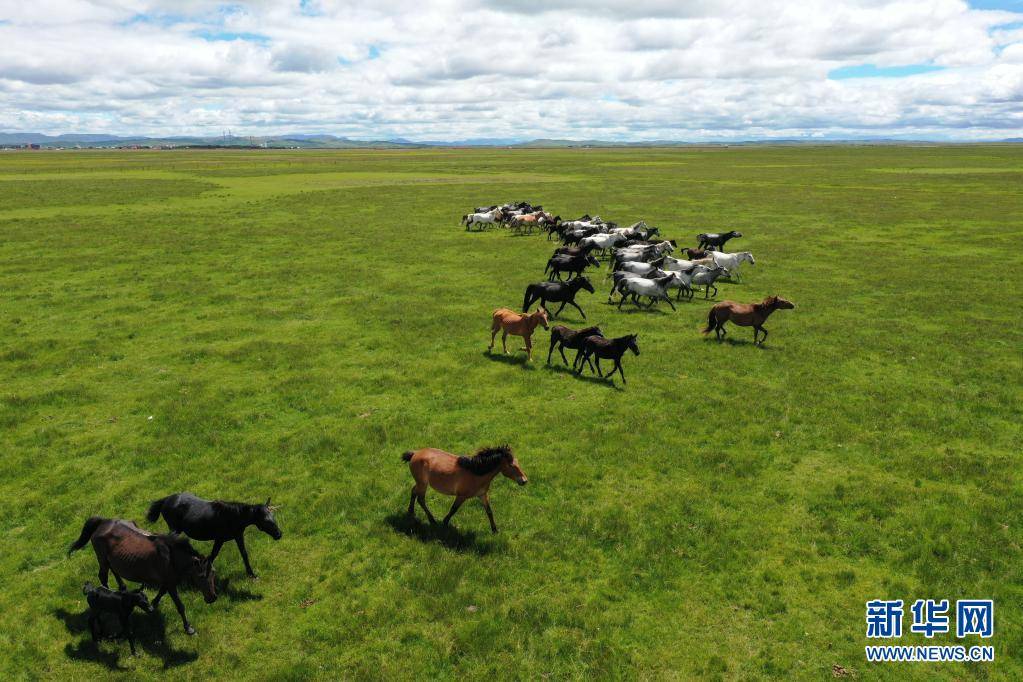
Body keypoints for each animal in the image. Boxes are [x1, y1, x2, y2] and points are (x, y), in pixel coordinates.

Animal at [70, 519, 219, 638]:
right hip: (102, 559)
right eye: (201, 577)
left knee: (115, 570)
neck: (171, 558)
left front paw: (153, 604)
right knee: (103, 576)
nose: (212, 598)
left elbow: (161, 592)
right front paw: (189, 628)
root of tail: (102, 522)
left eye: (213, 573)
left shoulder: (167, 581)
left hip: (110, 559)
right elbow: (180, 606)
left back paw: (122, 588)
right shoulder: (171, 584)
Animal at [146, 492, 282, 580]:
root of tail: (166, 499)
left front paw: (252, 575)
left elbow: (244, 554)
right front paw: (204, 574)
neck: (232, 516)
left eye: (273, 516)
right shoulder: (219, 539)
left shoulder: (238, 536)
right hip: (175, 529)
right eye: (266, 521)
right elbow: (213, 555)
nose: (279, 534)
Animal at [398, 445, 527, 535]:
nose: (524, 481)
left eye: (518, 462)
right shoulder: (461, 496)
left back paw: (411, 512)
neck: (475, 472)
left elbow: (489, 511)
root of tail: (415, 453)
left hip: (420, 483)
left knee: (413, 491)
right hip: (423, 484)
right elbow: (453, 509)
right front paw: (444, 524)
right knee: (421, 499)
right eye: (511, 465)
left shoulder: (482, 495)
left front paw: (495, 530)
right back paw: (432, 520)